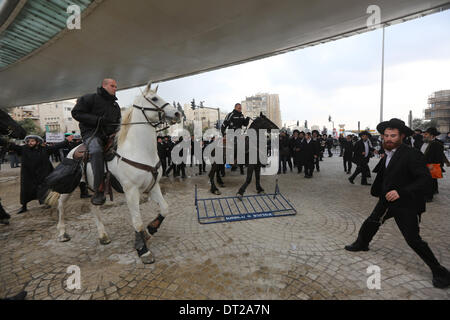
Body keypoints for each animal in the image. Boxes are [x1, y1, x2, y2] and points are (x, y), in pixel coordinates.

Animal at [48, 82, 181, 262]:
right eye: (154, 98)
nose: (177, 113)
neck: (139, 150)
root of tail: (73, 150)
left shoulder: (153, 186)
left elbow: (165, 208)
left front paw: (151, 229)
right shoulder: (131, 191)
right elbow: (137, 221)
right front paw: (142, 248)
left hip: (96, 189)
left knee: (94, 207)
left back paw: (103, 235)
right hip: (69, 188)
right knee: (61, 205)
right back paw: (62, 233)